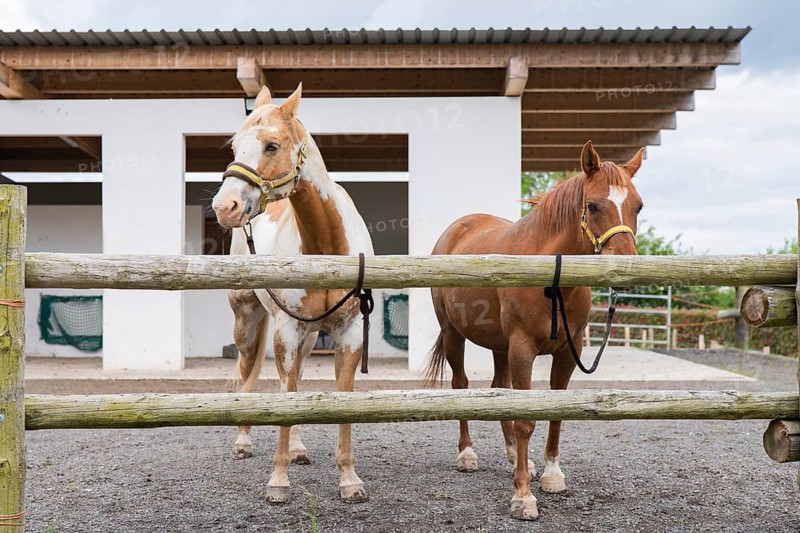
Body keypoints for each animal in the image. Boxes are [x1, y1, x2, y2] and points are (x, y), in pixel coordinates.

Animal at [211, 83, 374, 504]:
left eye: (271, 145)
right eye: (234, 146)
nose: (225, 207)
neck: (327, 247)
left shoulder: (349, 333)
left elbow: (338, 399)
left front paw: (349, 480)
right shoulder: (286, 330)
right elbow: (285, 397)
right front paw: (278, 482)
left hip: (307, 336)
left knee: (296, 378)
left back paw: (299, 450)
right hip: (248, 323)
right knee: (249, 373)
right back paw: (243, 443)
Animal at [424, 141, 645, 520]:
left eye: (638, 205)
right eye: (593, 205)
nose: (626, 268)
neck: (552, 280)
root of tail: (455, 230)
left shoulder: (569, 352)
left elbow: (552, 411)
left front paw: (551, 475)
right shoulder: (522, 349)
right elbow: (527, 419)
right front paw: (523, 495)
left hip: (499, 346)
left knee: (499, 389)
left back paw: (514, 455)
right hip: (454, 334)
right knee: (461, 385)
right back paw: (467, 454)